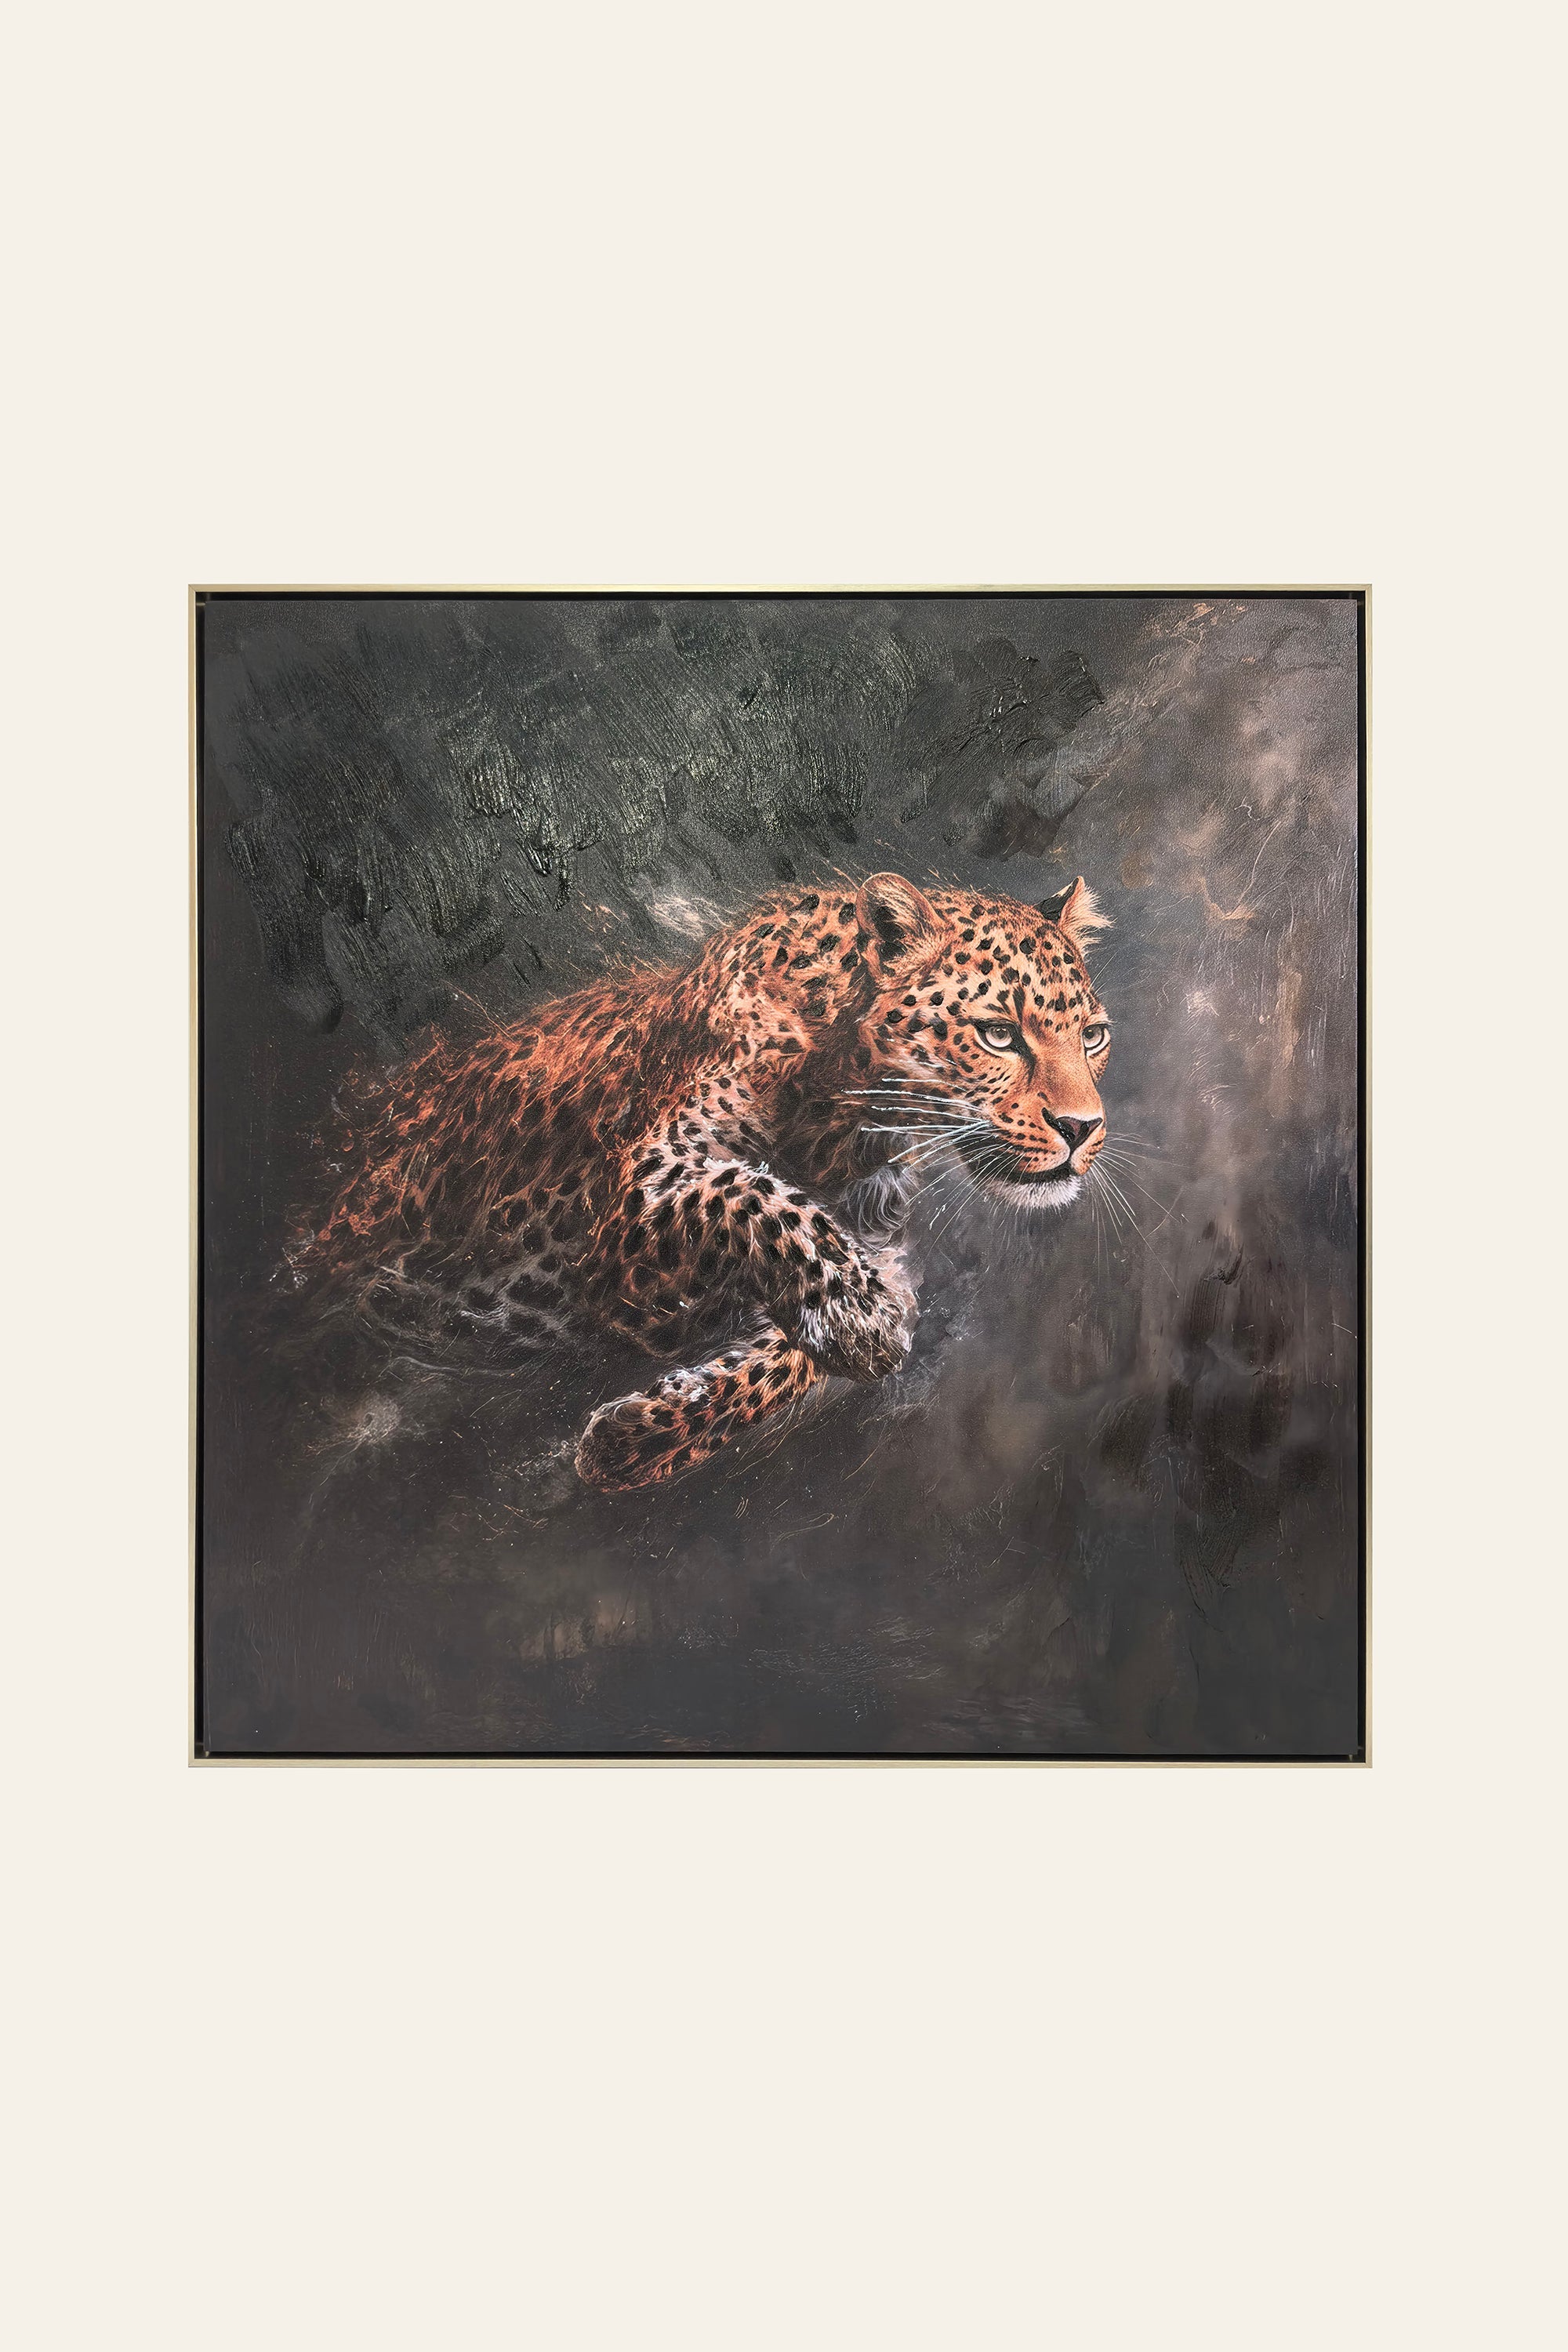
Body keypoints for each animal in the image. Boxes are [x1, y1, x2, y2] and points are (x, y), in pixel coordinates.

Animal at [295, 870, 1113, 1491]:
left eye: (1093, 1036)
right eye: (998, 1035)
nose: (1083, 1129)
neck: (851, 1123)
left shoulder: (877, 1248)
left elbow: (786, 1356)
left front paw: (630, 1440)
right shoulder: (633, 1212)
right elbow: (754, 1198)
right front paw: (859, 1321)